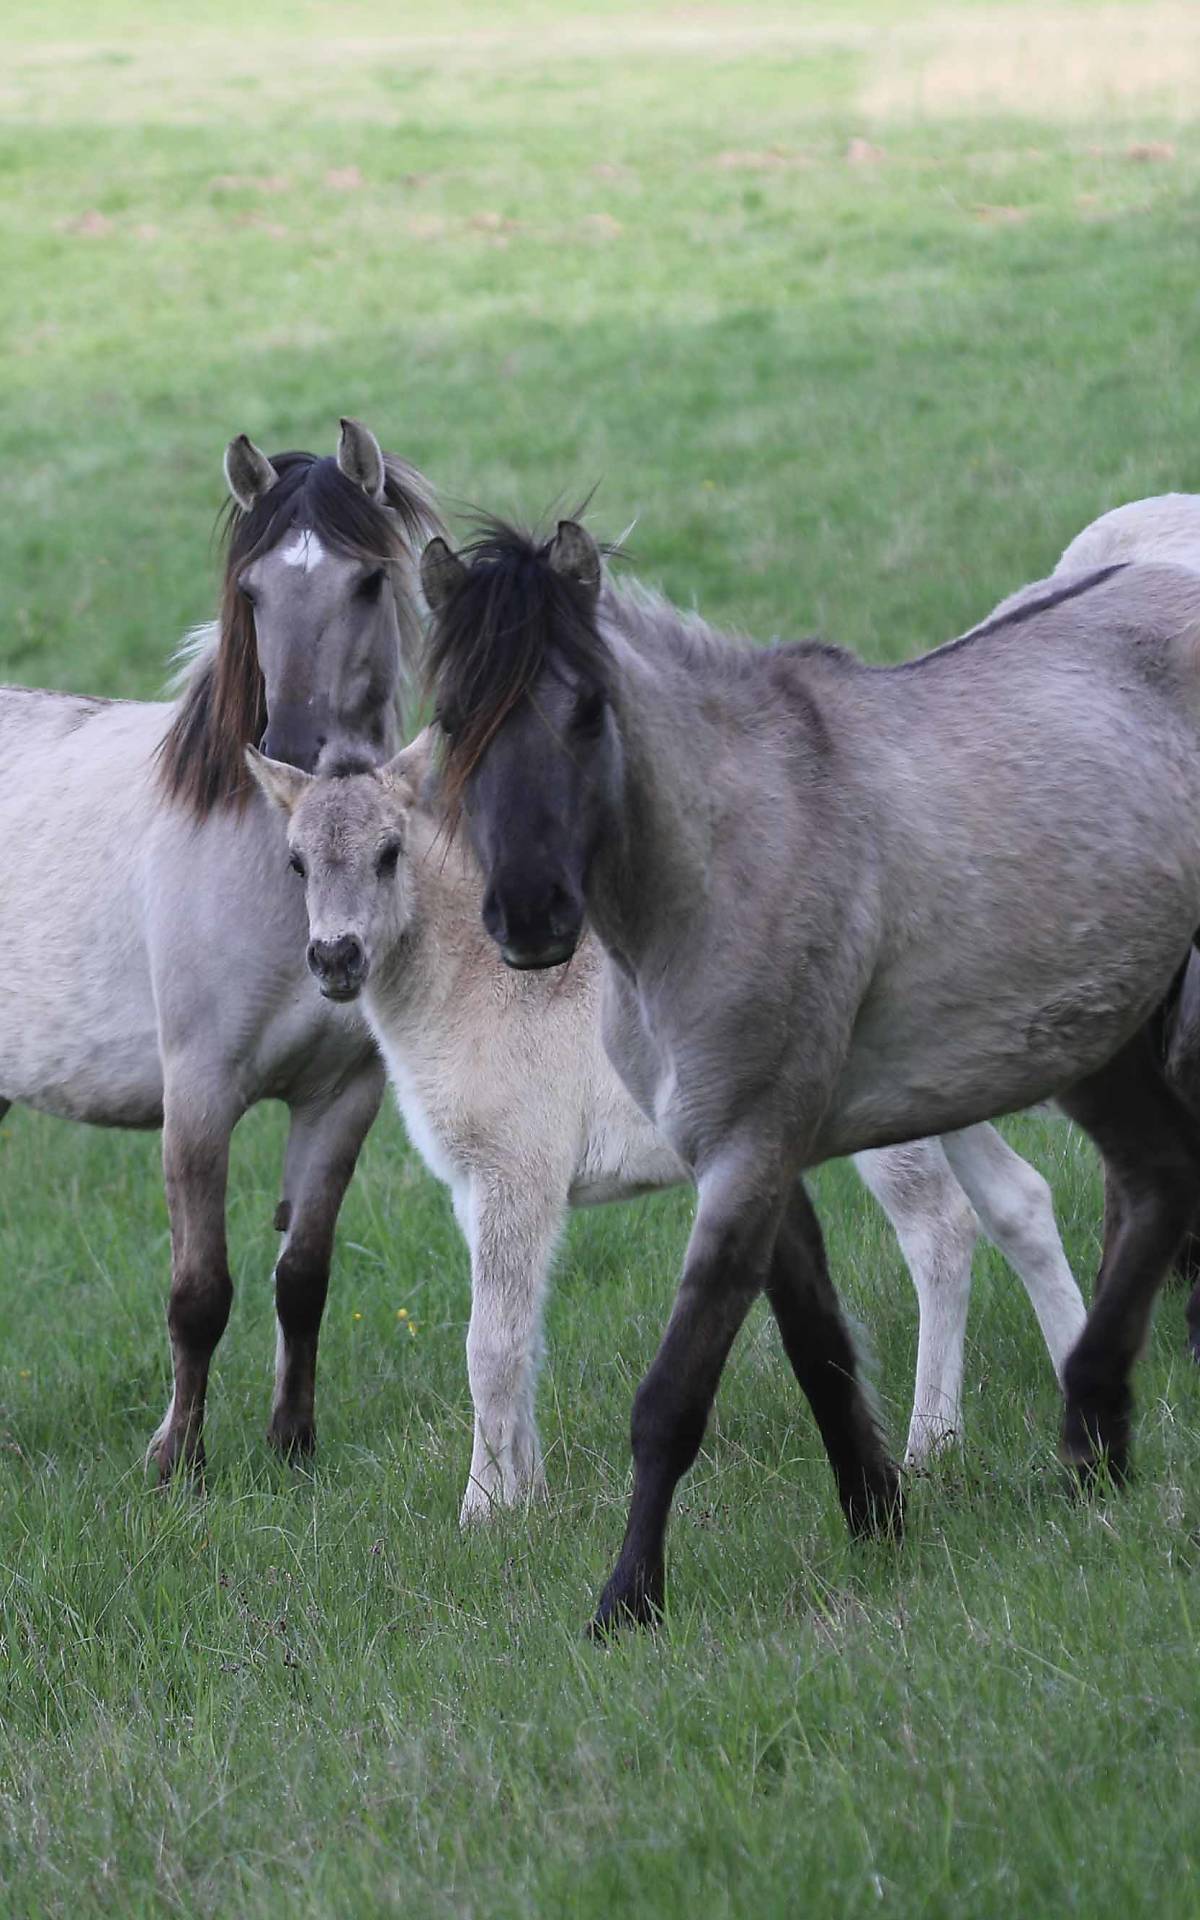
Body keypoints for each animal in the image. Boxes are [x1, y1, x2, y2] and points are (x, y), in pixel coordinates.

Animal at [418, 518, 1200, 1628]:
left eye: (586, 708)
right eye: (453, 719)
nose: (530, 917)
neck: (732, 855)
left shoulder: (751, 1148)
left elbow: (673, 1396)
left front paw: (628, 1599)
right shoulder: (744, 1152)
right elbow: (819, 1345)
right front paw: (877, 1512)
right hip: (1098, 1035)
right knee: (1162, 1177)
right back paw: (1095, 1437)